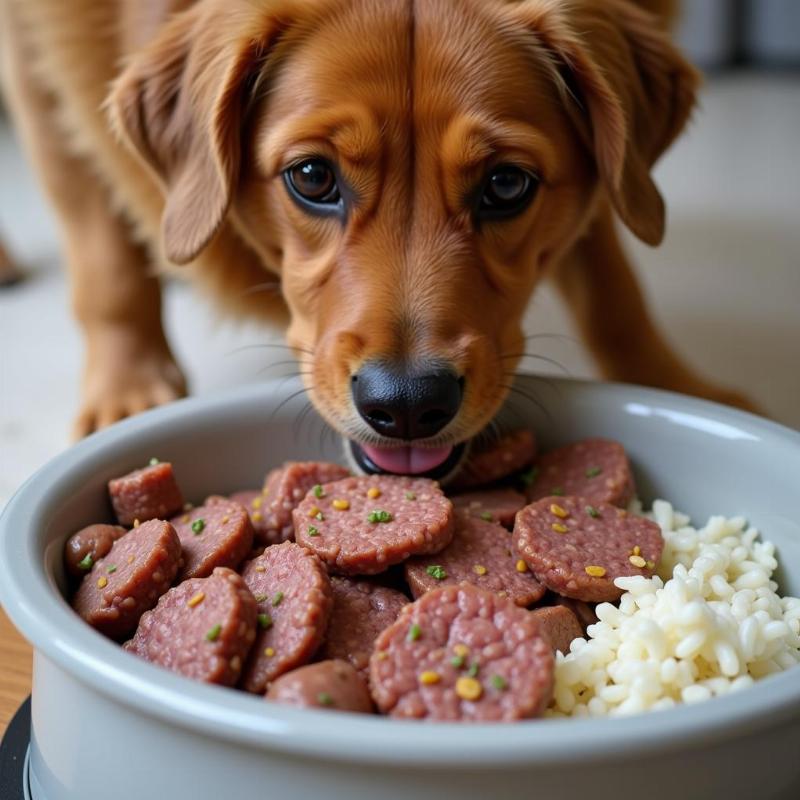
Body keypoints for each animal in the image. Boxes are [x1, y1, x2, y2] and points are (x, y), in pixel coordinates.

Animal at [0, 0, 752, 476]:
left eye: (507, 183)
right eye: (311, 176)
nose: (409, 405)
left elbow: (611, 282)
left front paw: (667, 380)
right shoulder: (37, 67)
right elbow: (105, 264)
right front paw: (126, 390)